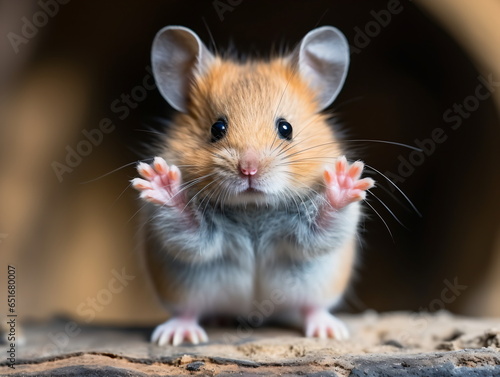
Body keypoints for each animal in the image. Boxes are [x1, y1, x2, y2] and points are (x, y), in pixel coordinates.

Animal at [133, 25, 376, 346]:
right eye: (217, 128)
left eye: (286, 128)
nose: (249, 169)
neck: (253, 209)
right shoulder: (191, 238)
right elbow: (187, 228)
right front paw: (160, 181)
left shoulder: (314, 234)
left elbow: (323, 226)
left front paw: (346, 179)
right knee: (188, 311)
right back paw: (178, 334)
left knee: (312, 308)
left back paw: (328, 330)